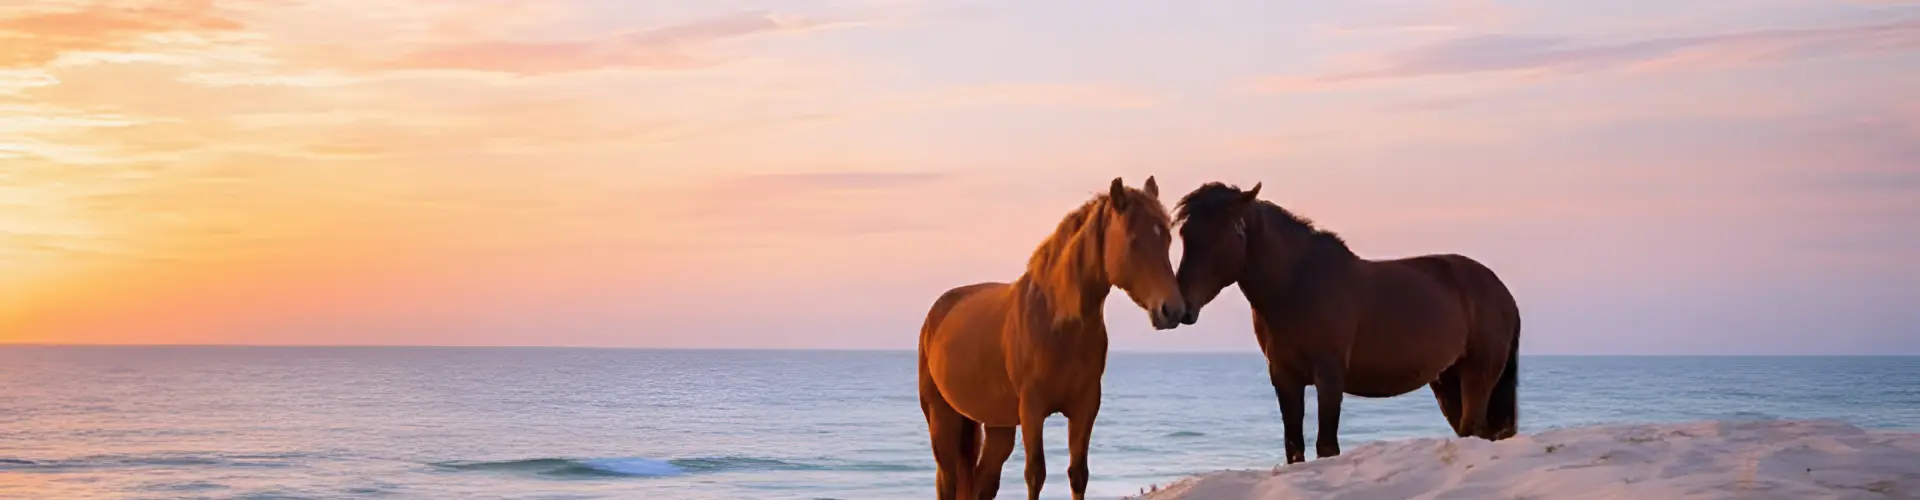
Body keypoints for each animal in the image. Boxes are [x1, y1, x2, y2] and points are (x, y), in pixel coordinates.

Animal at [919, 177, 1187, 500]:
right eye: (1134, 240)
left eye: (1168, 240)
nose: (1172, 310)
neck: (1056, 323)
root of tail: (936, 314)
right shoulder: (1032, 410)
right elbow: (1035, 474)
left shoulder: (1085, 407)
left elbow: (1078, 474)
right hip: (943, 419)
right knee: (946, 479)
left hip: (998, 426)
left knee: (983, 483)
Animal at [1171, 182, 1521, 464]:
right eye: (1185, 235)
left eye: (1220, 235)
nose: (1182, 307)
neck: (1297, 286)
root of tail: (1501, 290)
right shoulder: (1284, 377)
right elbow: (1294, 448)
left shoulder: (1329, 375)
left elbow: (1326, 447)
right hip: (1447, 381)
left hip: (1477, 376)